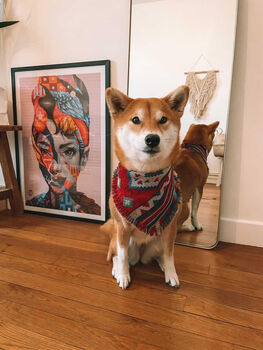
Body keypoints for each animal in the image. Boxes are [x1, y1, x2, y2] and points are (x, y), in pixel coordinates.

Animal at [101, 87, 190, 290]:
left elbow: (170, 255)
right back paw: (117, 269)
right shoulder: (122, 228)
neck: (146, 176)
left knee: (160, 255)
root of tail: (141, 256)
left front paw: (171, 273)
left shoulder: (170, 229)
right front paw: (123, 275)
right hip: (122, 238)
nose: (152, 139)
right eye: (135, 119)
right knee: (116, 255)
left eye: (163, 119)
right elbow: (122, 256)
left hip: (157, 242)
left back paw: (163, 265)